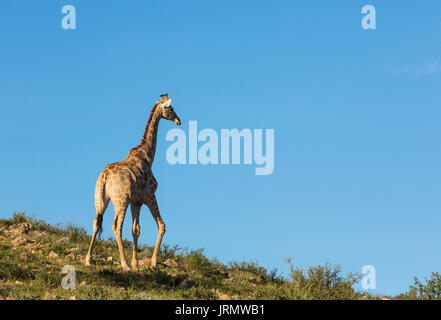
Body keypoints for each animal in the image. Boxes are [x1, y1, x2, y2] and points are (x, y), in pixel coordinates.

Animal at [84, 94, 180, 270]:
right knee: (116, 226)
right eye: (170, 108)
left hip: (101, 199)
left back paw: (88, 259)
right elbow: (161, 225)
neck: (148, 157)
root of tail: (104, 176)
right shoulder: (149, 196)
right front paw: (152, 263)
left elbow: (136, 229)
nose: (178, 121)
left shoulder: (136, 201)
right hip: (121, 201)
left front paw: (136, 263)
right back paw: (124, 264)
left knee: (96, 222)